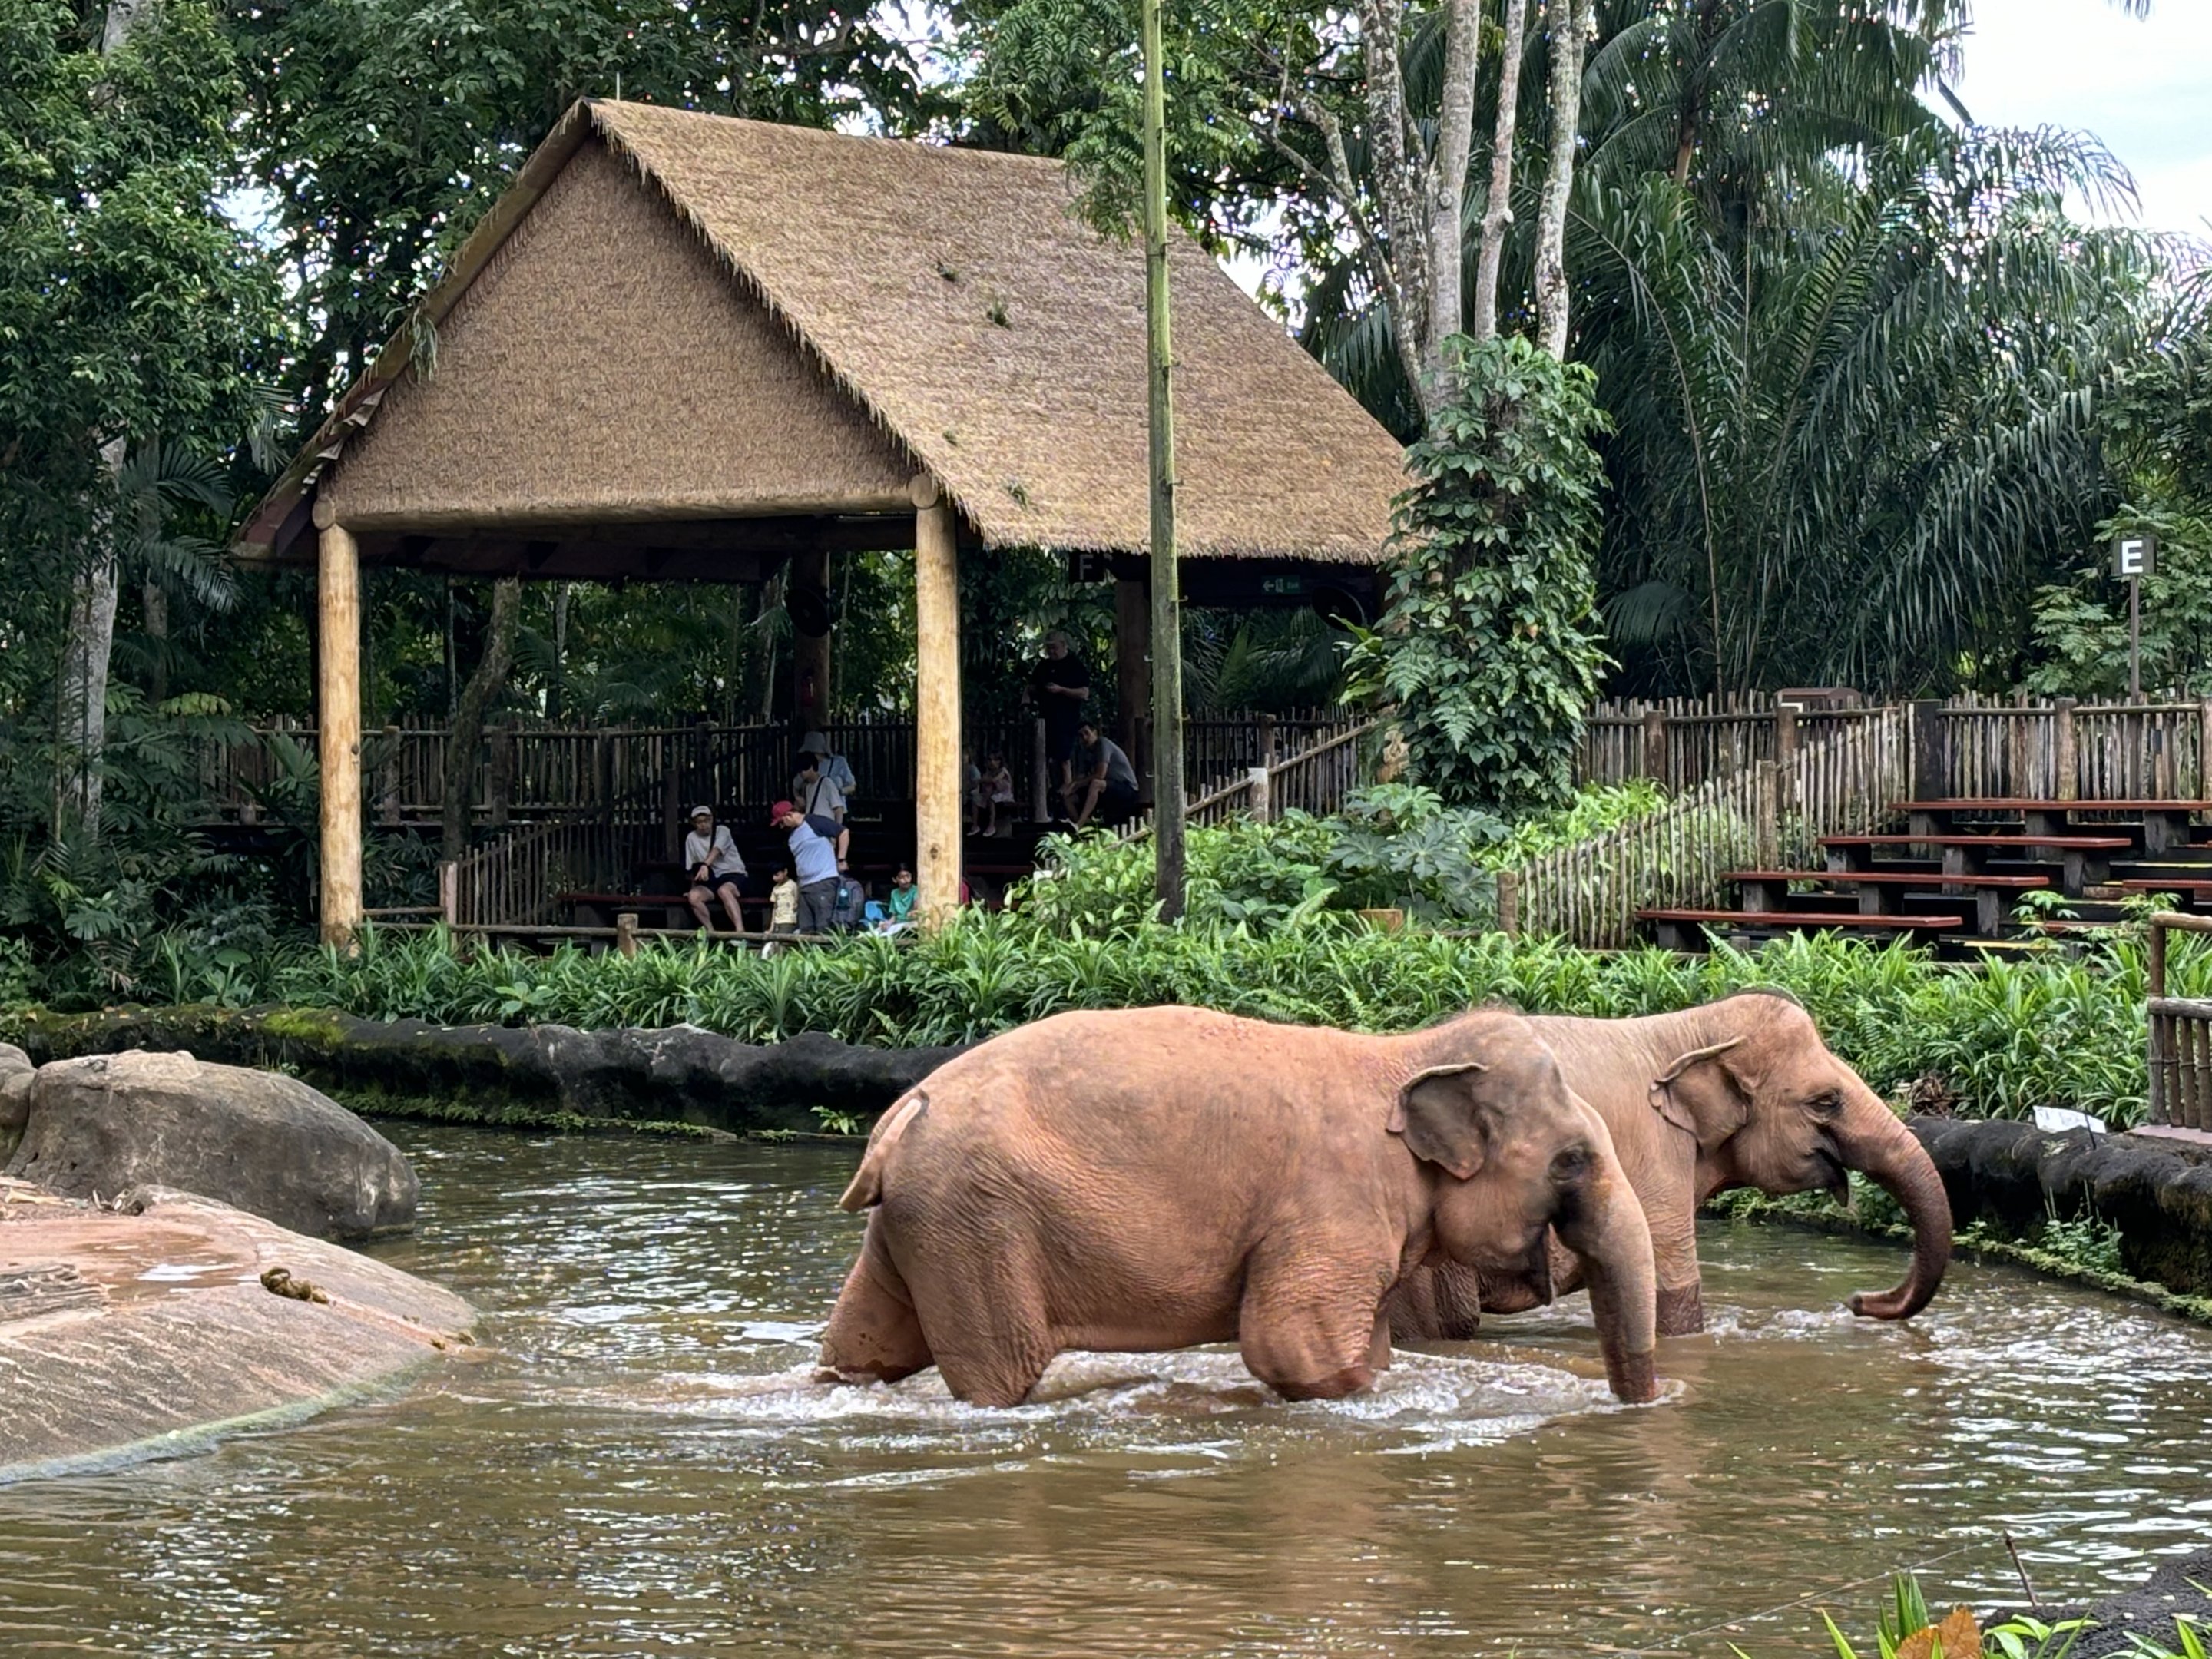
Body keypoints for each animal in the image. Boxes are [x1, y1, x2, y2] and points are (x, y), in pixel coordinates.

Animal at [817, 1005, 1660, 1407]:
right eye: (1573, 1160)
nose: (1635, 1407)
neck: (1404, 1051)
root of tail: (902, 1116)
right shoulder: (1333, 1206)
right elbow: (1294, 1347)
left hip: (924, 1222)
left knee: (864, 1346)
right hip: (980, 1225)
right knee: (998, 1376)